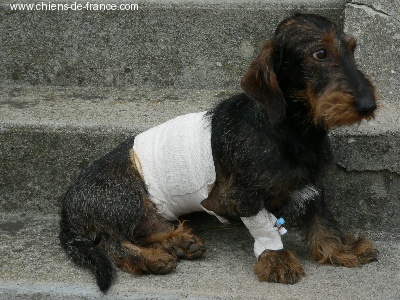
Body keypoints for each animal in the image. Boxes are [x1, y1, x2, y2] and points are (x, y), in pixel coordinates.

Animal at [59, 12, 378, 292]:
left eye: (352, 49)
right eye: (320, 53)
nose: (368, 105)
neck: (293, 132)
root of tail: (66, 207)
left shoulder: (312, 185)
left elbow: (322, 220)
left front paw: (341, 249)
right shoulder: (244, 196)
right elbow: (266, 228)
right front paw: (277, 259)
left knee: (147, 228)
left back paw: (179, 242)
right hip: (126, 200)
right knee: (111, 242)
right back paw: (151, 259)